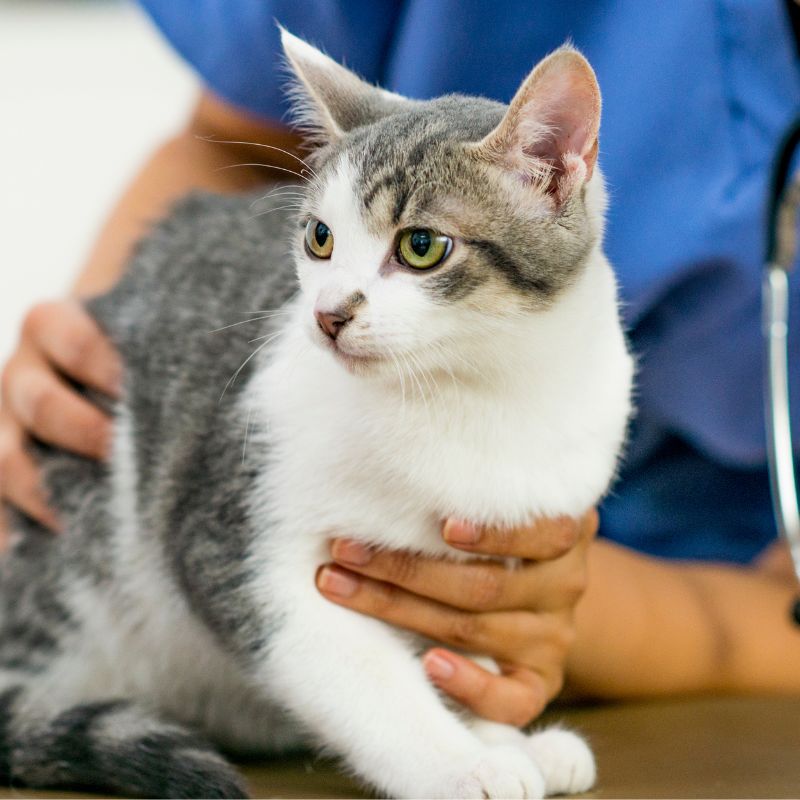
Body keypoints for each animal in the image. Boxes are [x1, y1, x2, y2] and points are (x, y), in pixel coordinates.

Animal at [0, 29, 632, 800]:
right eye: (319, 239)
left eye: (421, 246)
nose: (328, 314)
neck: (476, 390)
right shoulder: (236, 540)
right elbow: (356, 672)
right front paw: (465, 763)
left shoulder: (492, 555)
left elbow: (466, 656)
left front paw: (502, 734)